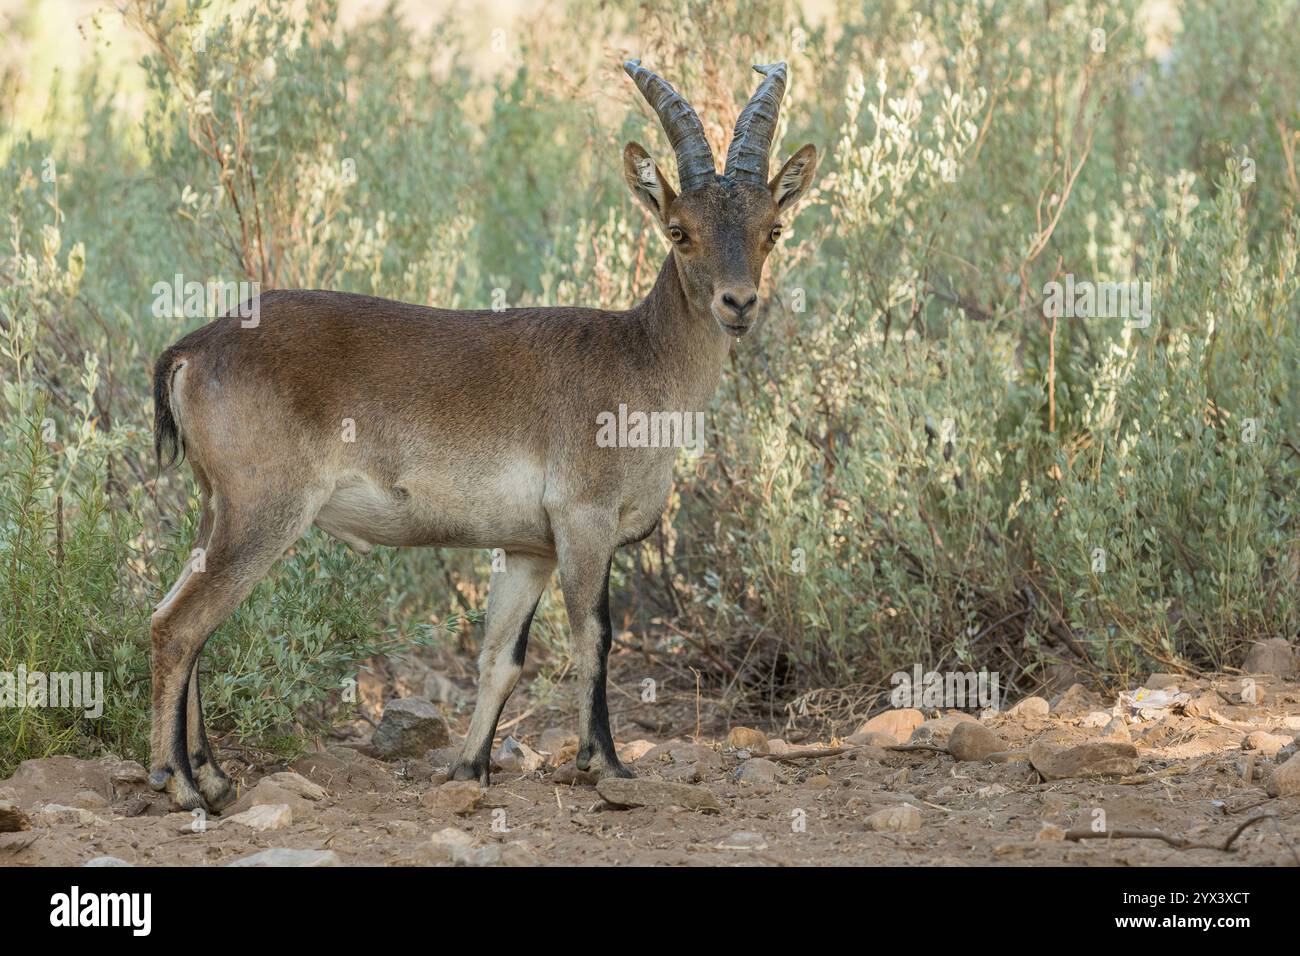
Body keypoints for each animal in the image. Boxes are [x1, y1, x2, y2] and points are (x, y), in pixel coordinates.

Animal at [149, 59, 817, 811]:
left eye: (773, 228)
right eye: (679, 230)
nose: (738, 304)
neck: (639, 360)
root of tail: (190, 350)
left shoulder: (529, 549)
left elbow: (502, 657)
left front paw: (470, 768)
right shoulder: (584, 520)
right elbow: (594, 637)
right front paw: (607, 765)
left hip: (217, 509)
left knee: (176, 616)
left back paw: (212, 774)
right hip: (264, 512)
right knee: (179, 626)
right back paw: (180, 784)